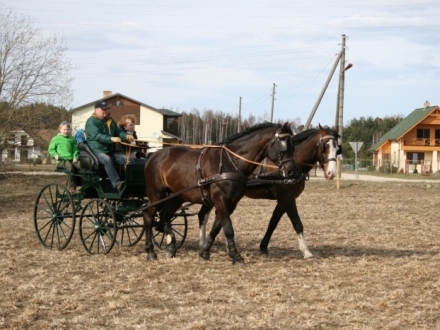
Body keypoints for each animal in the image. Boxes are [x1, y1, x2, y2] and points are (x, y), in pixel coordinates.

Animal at [144, 121, 300, 262]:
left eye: (293, 147)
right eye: (283, 146)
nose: (291, 171)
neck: (230, 162)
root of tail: (154, 155)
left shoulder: (231, 202)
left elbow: (217, 227)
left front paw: (205, 252)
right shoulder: (220, 200)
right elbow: (228, 228)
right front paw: (236, 255)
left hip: (177, 196)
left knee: (165, 215)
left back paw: (171, 247)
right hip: (156, 195)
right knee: (149, 217)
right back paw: (150, 251)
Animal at [199, 125, 340, 260]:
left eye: (337, 148)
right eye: (324, 146)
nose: (331, 173)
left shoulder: (283, 201)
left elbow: (272, 223)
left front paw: (263, 247)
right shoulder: (287, 198)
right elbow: (297, 223)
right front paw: (306, 251)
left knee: (203, 215)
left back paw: (204, 244)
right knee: (203, 216)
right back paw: (203, 244)